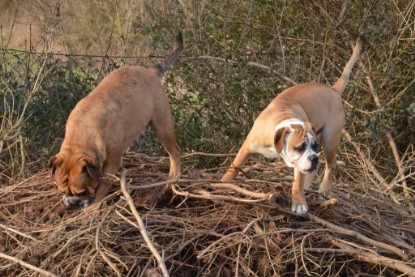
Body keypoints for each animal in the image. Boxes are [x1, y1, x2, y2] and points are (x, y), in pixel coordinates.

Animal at [48, 31, 183, 207]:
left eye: (81, 192)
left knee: (174, 152)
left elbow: (102, 187)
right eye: (63, 190)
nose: (72, 202)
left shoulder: (111, 163)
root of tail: (151, 71)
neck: (83, 132)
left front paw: (93, 207)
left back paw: (173, 177)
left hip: (162, 126)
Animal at [223, 36, 362, 213]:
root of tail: (333, 90)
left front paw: (299, 203)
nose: (313, 157)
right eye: (300, 147)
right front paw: (225, 181)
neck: (284, 120)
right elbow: (235, 165)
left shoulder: (300, 165)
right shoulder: (247, 146)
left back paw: (323, 189)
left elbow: (297, 184)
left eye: (313, 146)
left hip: (330, 139)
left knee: (331, 164)